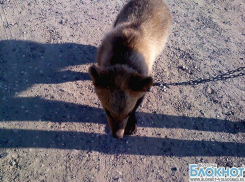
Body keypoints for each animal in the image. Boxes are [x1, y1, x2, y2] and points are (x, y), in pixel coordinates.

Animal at [89, 0, 171, 139]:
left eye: (127, 113)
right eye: (108, 111)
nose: (117, 136)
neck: (124, 54)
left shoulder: (142, 82)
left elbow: (137, 103)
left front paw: (131, 124)